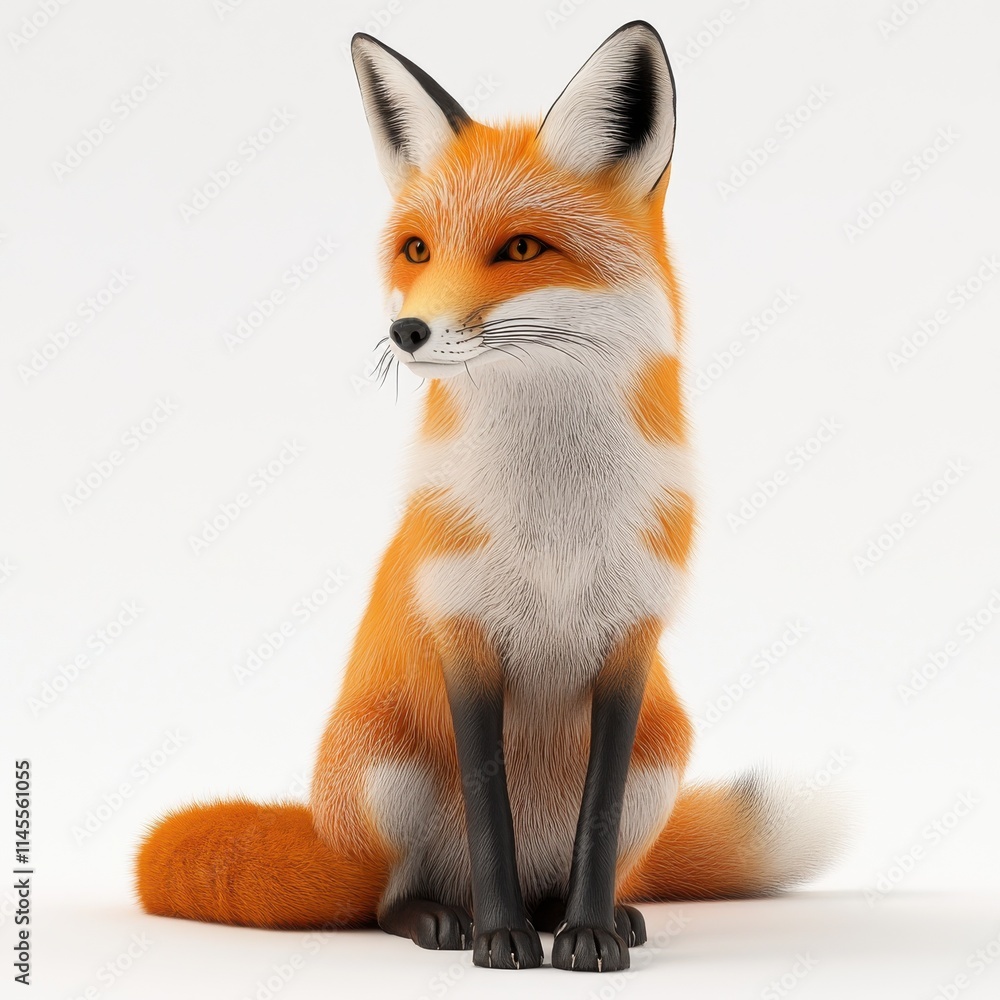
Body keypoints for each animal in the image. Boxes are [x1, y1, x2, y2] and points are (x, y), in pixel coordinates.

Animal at [135, 21, 842, 973]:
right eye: (417, 250)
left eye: (521, 249)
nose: (407, 331)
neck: (556, 523)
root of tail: (330, 836)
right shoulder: (464, 633)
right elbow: (488, 812)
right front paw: (502, 941)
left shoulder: (631, 643)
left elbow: (596, 816)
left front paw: (586, 936)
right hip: (387, 772)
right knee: (382, 900)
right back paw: (447, 917)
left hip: (664, 753)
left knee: (586, 864)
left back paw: (590, 913)